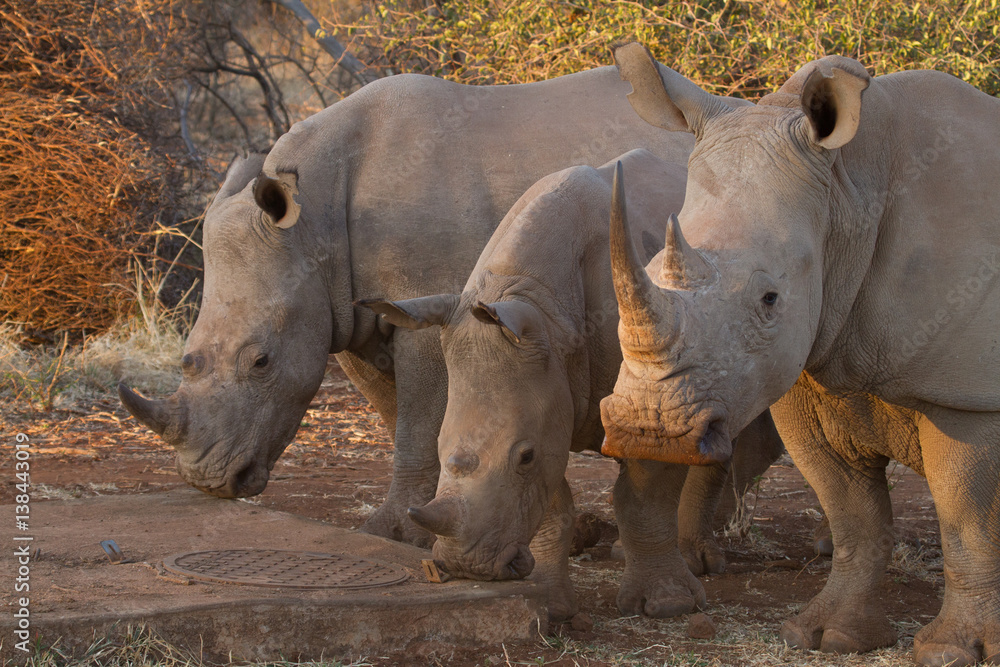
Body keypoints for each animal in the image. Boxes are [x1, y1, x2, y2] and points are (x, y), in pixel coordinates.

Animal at [117, 66, 694, 547]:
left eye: (261, 361)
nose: (207, 480)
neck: (314, 222)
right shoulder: (352, 313)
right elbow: (400, 416)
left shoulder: (427, 311)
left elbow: (417, 426)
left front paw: (396, 535)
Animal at [359, 149, 783, 621]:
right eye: (439, 447)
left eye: (523, 456)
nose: (469, 567)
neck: (542, 308)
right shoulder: (545, 387)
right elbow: (553, 505)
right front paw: (550, 606)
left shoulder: (654, 397)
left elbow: (644, 495)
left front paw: (667, 605)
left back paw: (694, 563)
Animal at [601, 43, 1000, 666]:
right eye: (645, 272)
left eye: (770, 299)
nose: (649, 430)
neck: (849, 192)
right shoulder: (813, 372)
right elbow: (853, 516)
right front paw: (827, 637)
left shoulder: (969, 392)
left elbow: (969, 518)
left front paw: (954, 651)